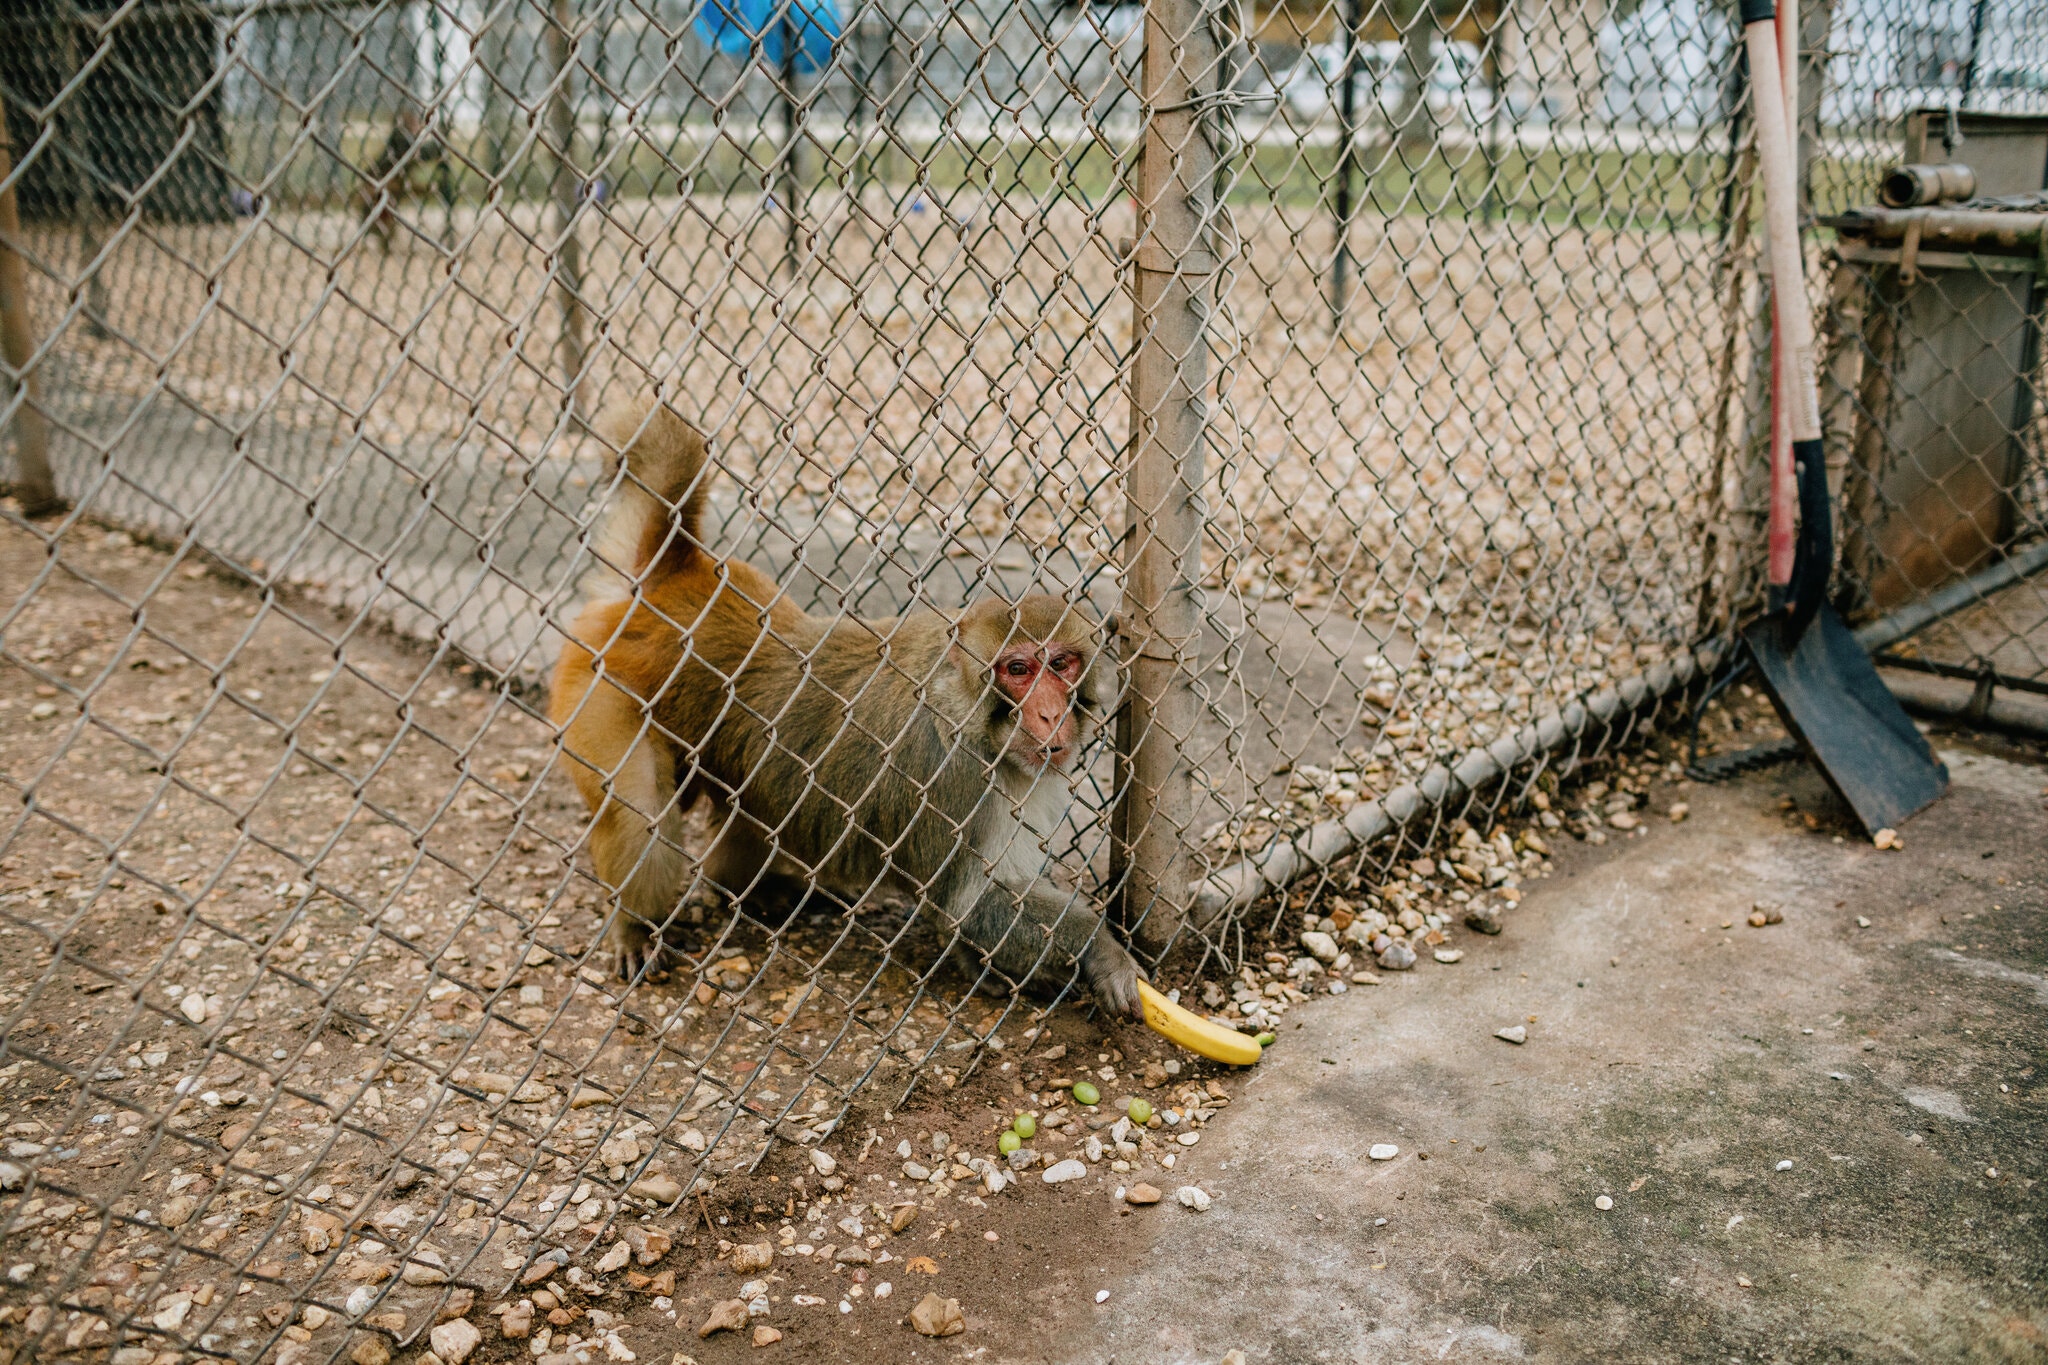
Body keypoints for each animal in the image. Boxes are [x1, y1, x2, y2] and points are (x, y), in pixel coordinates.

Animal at [547, 400, 1145, 1019]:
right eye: (1019, 669)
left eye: (1062, 663)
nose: (1051, 715)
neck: (961, 708)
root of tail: (670, 583)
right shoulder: (951, 779)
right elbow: (969, 902)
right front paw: (1101, 951)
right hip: (602, 686)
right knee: (639, 808)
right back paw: (632, 927)